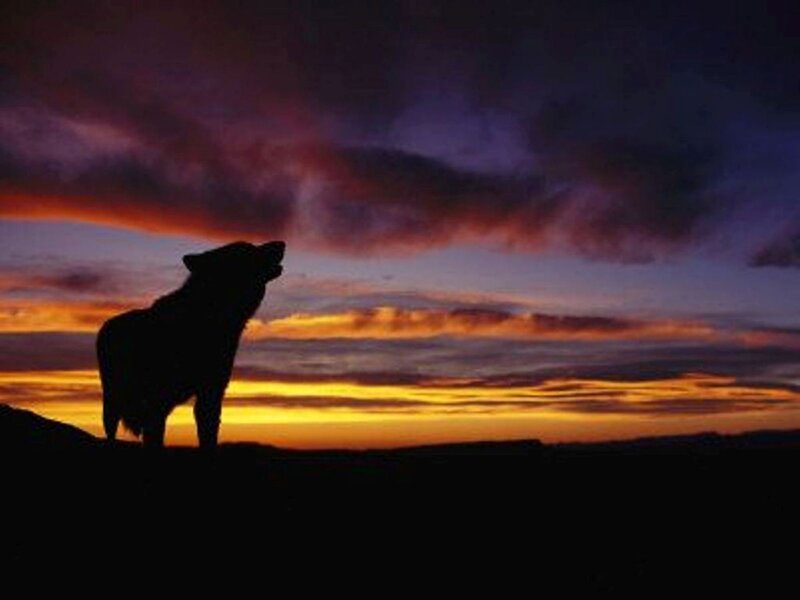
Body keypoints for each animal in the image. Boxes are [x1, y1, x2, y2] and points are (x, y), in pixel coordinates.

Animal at [96, 241, 285, 449]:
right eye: (248, 250)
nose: (281, 244)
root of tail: (106, 325)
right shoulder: (157, 401)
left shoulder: (211, 392)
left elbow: (208, 437)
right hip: (113, 402)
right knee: (111, 431)